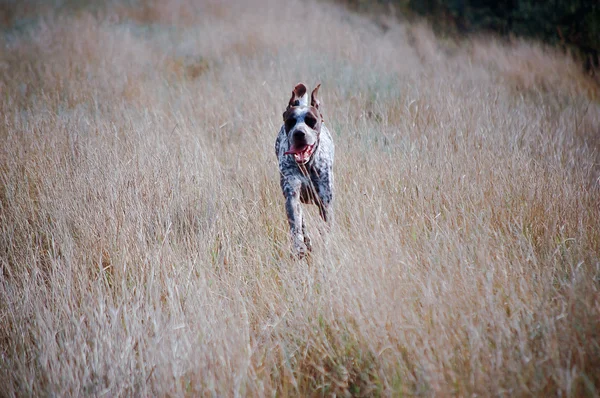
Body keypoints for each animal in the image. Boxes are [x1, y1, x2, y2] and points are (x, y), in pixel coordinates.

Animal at [276, 83, 336, 258]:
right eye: (291, 121)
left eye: (311, 121)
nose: (299, 133)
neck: (307, 167)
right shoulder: (292, 196)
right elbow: (297, 225)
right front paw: (299, 247)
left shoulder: (325, 202)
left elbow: (326, 230)